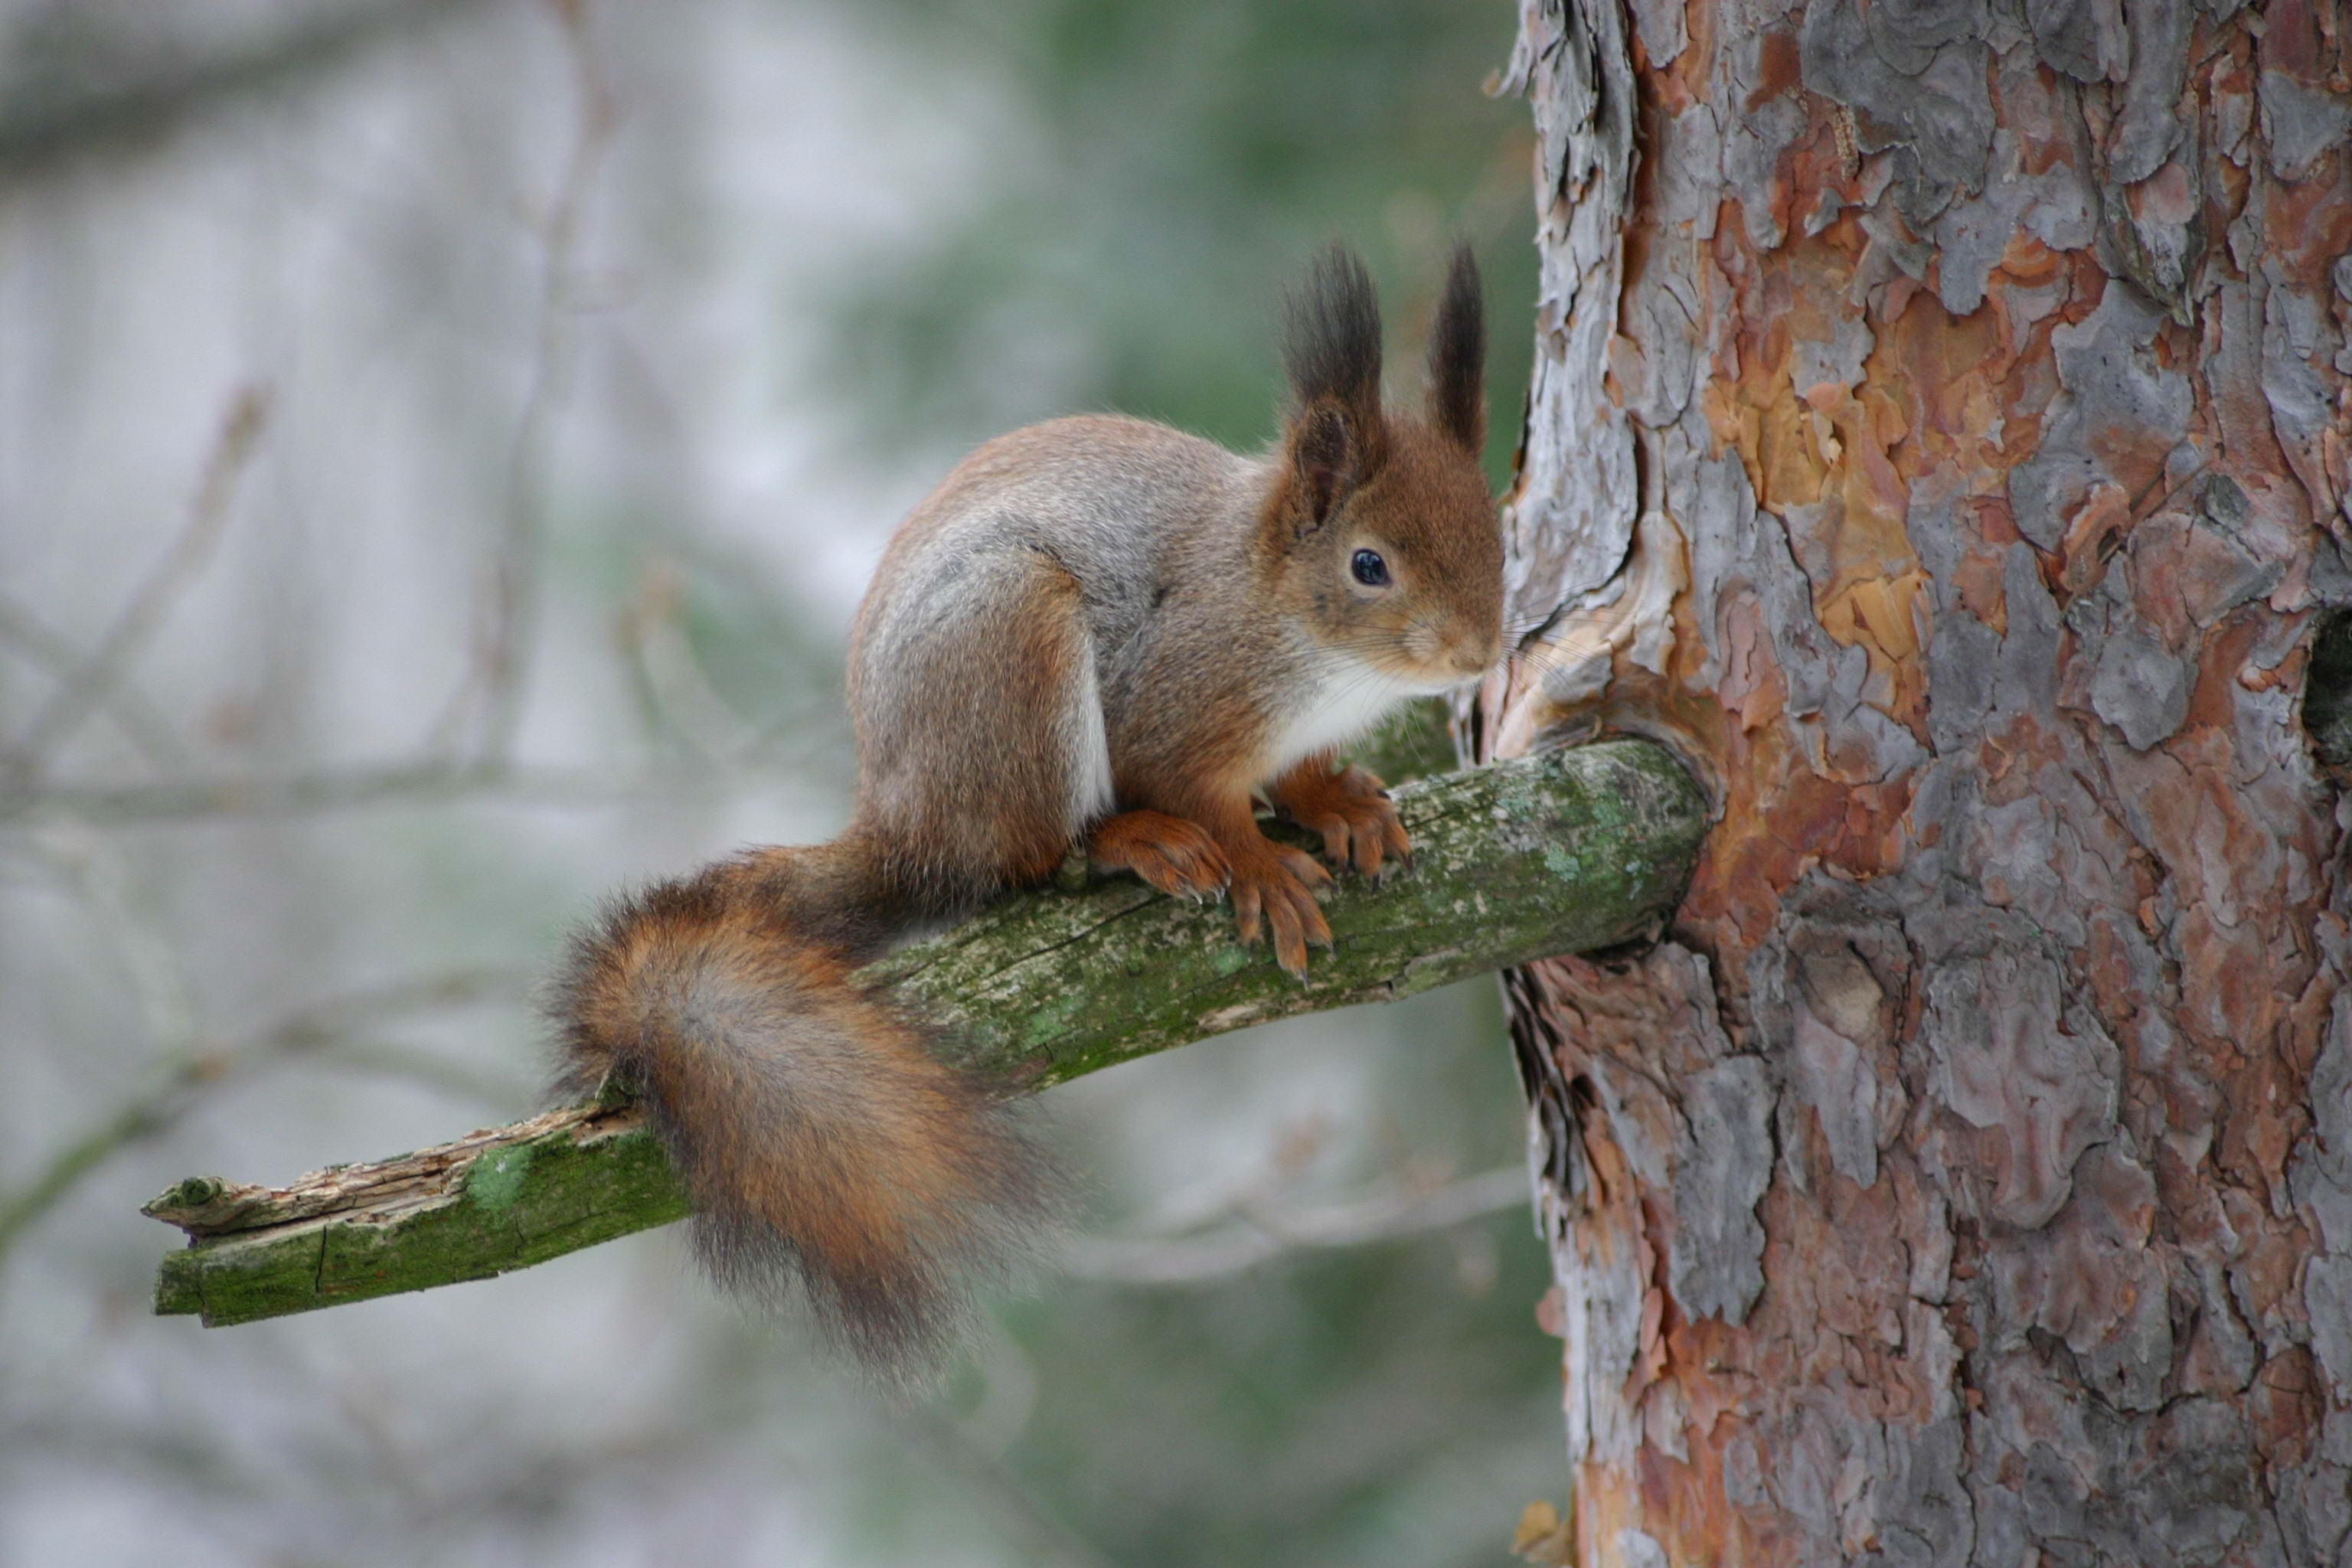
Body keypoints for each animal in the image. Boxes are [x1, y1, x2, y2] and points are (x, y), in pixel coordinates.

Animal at [560, 240, 1495, 1382]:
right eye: (1369, 565)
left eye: (1495, 526)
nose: (1480, 651)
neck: (1308, 644)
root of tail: (908, 825)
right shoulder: (1180, 699)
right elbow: (1197, 789)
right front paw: (1262, 866)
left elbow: (1305, 774)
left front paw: (1341, 803)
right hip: (1014, 648)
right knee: (1039, 858)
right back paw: (1130, 842)